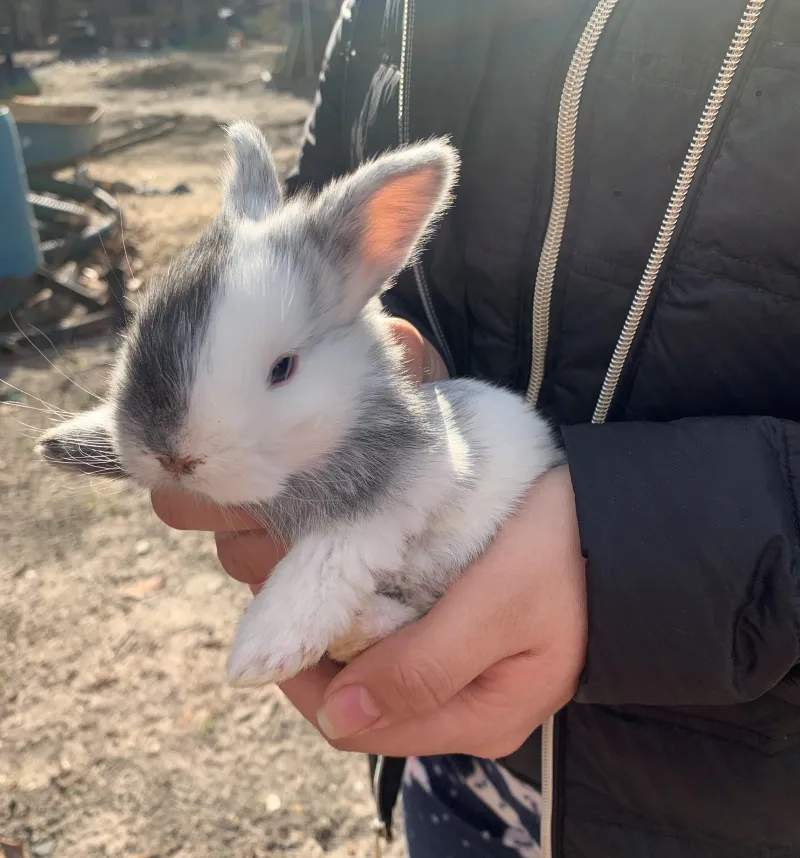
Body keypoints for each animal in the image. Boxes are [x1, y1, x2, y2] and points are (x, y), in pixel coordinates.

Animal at [36, 121, 563, 688]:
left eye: (283, 368)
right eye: (138, 330)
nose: (175, 458)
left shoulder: (412, 483)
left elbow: (327, 556)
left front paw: (262, 650)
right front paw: (66, 442)